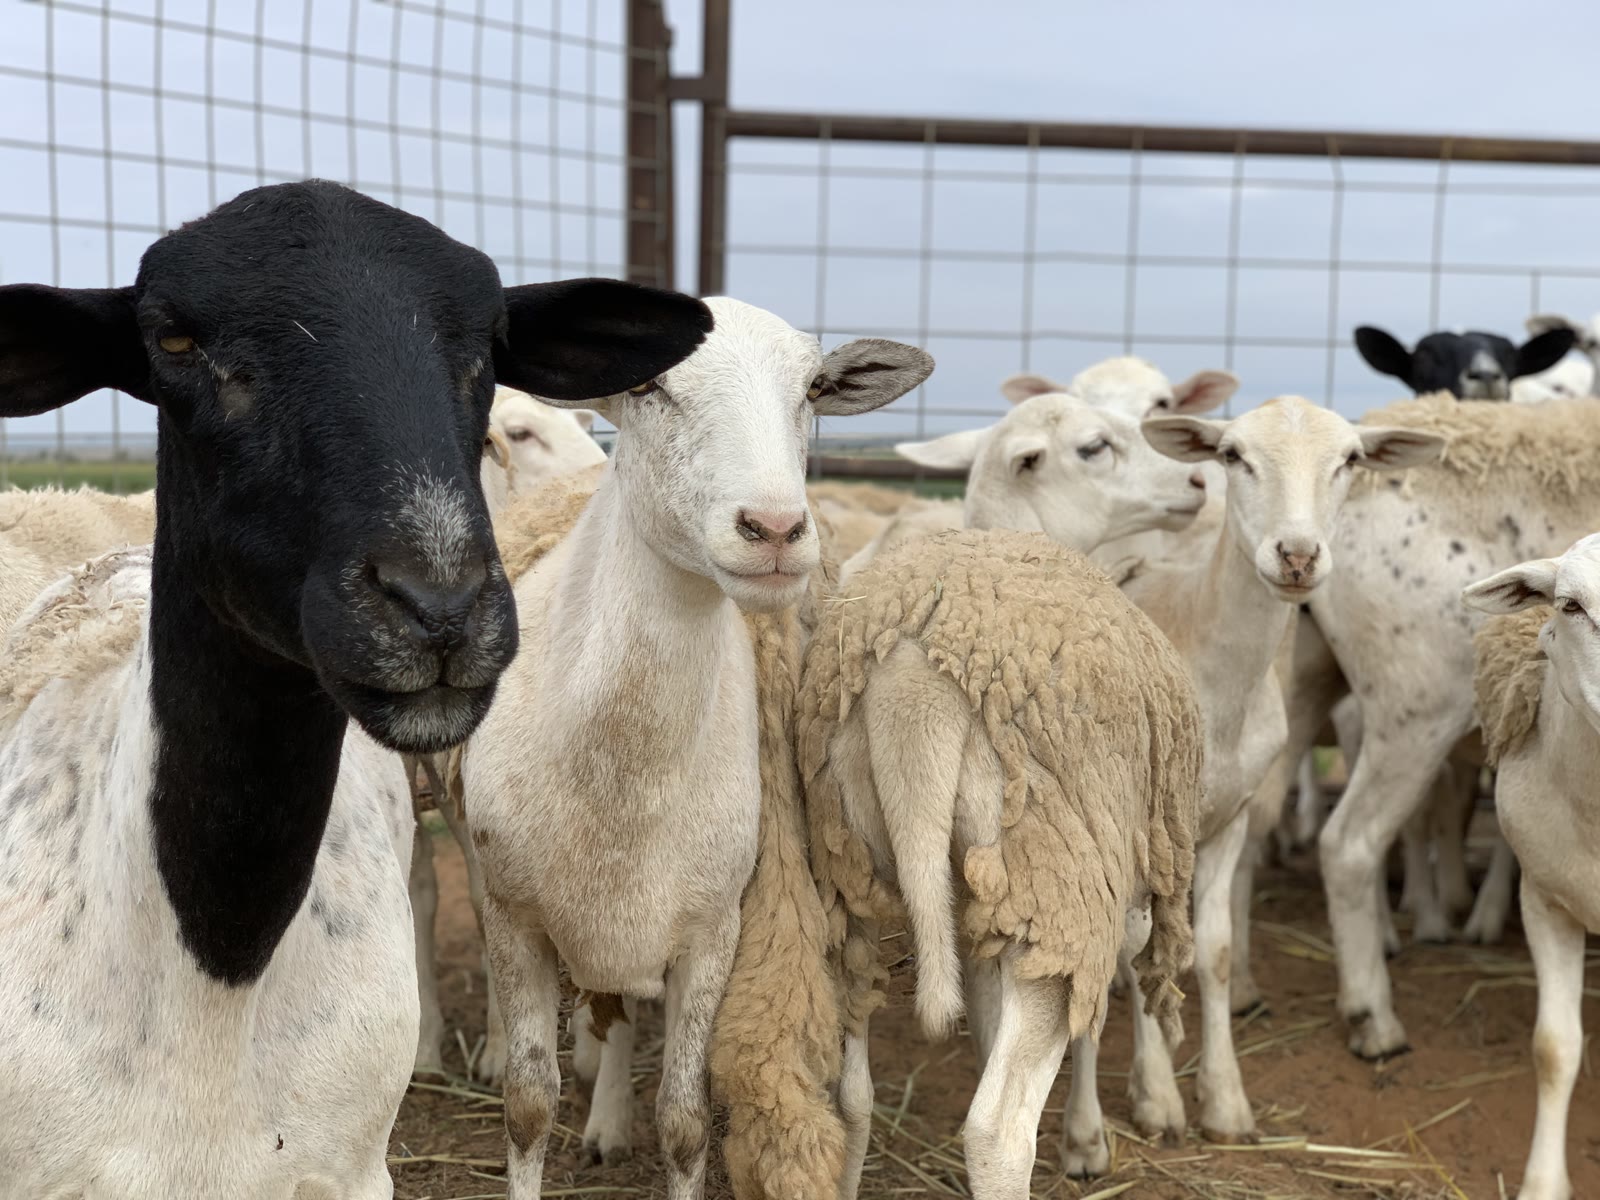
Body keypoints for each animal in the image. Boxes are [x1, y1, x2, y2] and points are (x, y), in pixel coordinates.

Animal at [460, 297, 932, 1200]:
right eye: (647, 383)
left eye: (814, 388)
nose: (774, 528)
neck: (623, 769)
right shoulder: (514, 918)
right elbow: (528, 1109)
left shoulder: (714, 929)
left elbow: (684, 1124)